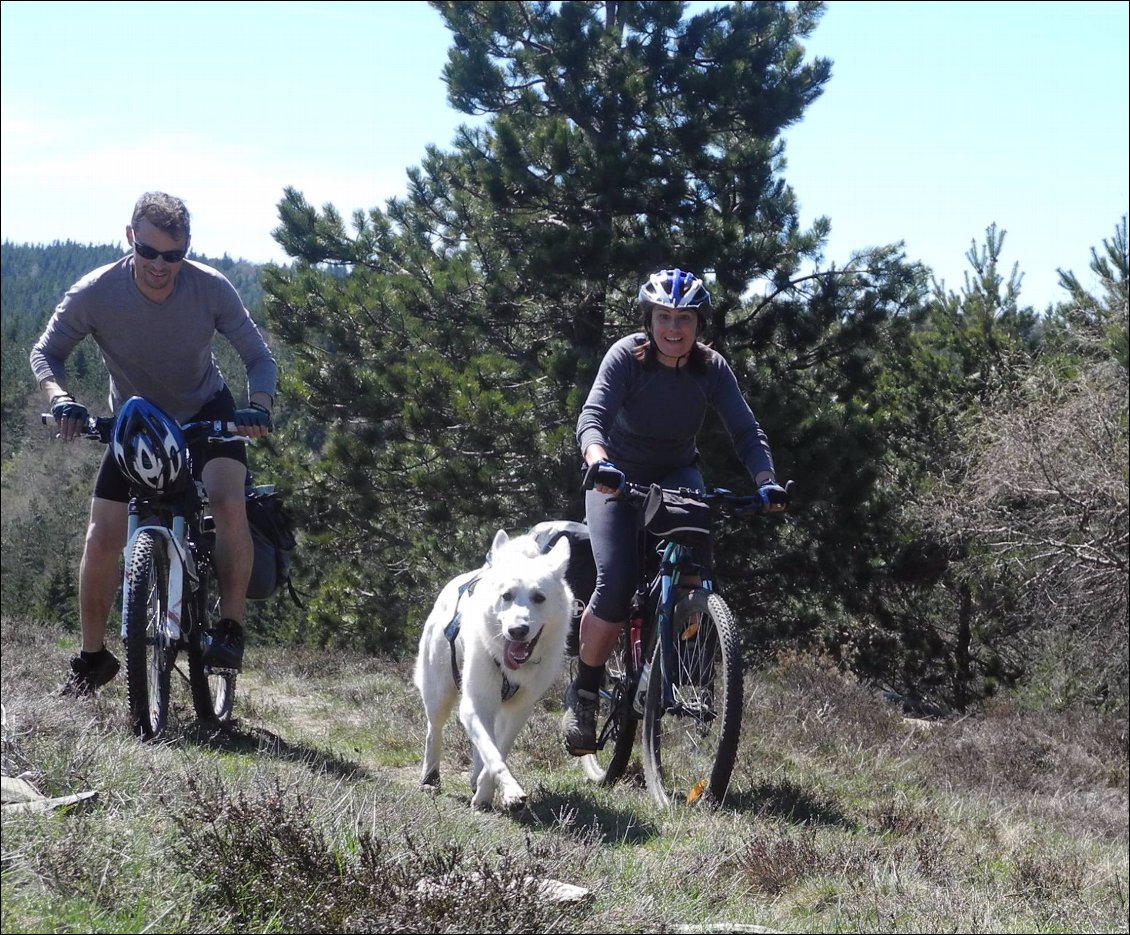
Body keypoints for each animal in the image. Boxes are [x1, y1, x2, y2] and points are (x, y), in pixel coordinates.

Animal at [413, 529, 569, 809]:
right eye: (506, 596)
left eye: (539, 598)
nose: (517, 630)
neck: (511, 668)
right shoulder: (475, 704)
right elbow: (492, 752)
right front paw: (509, 792)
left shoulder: (518, 711)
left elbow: (498, 750)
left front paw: (486, 793)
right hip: (440, 693)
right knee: (434, 731)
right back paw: (430, 777)